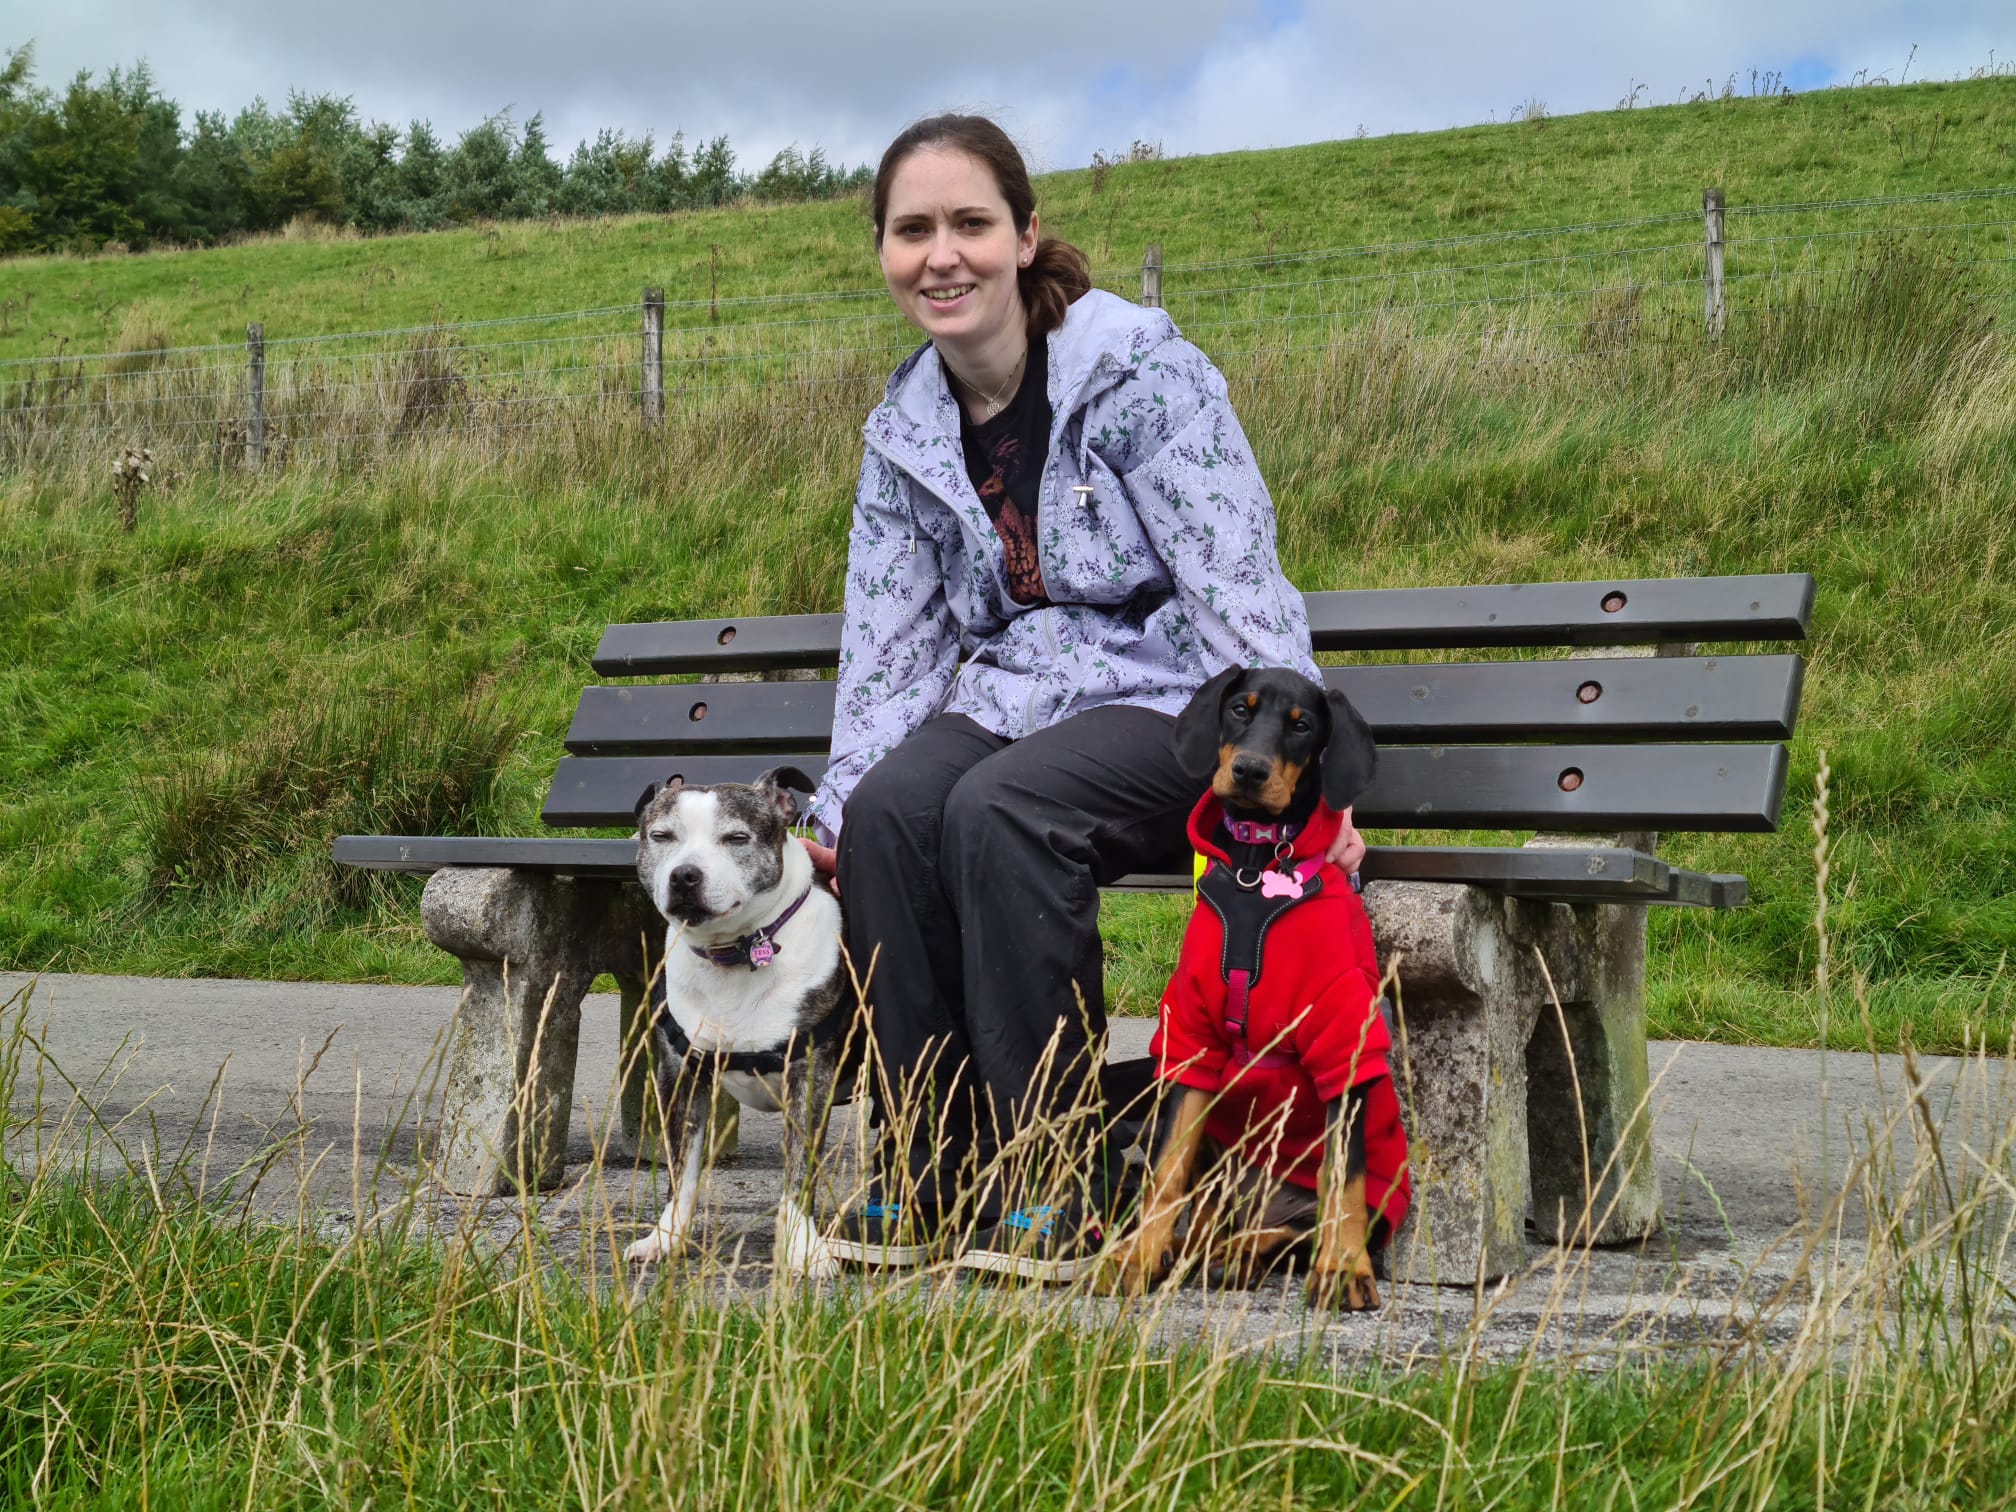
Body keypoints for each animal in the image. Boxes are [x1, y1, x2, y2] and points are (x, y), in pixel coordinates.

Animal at [624, 770, 854, 1282]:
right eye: (661, 836)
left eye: (736, 838)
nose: (685, 874)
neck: (734, 952)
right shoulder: (680, 1077)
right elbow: (680, 1169)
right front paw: (666, 1238)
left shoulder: (808, 1078)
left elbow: (798, 1170)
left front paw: (803, 1249)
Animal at [1104, 669, 1403, 1306]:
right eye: (1241, 710)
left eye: (1302, 725)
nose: (1249, 771)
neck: (1252, 873)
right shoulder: (1191, 1036)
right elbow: (1165, 1173)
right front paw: (1138, 1255)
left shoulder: (1345, 1037)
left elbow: (1342, 1175)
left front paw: (1345, 1269)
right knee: (1201, 1208)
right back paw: (1184, 1248)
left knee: (1297, 1228)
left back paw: (1241, 1254)